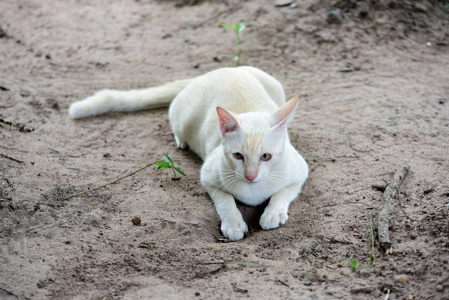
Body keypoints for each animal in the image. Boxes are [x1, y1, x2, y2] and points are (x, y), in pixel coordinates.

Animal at [68, 67, 308, 240]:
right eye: (238, 156)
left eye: (266, 156)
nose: (250, 176)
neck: (253, 190)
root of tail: (214, 71)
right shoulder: (208, 176)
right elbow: (225, 200)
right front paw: (233, 224)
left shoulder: (301, 171)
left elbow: (283, 193)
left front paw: (273, 213)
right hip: (182, 116)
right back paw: (181, 141)